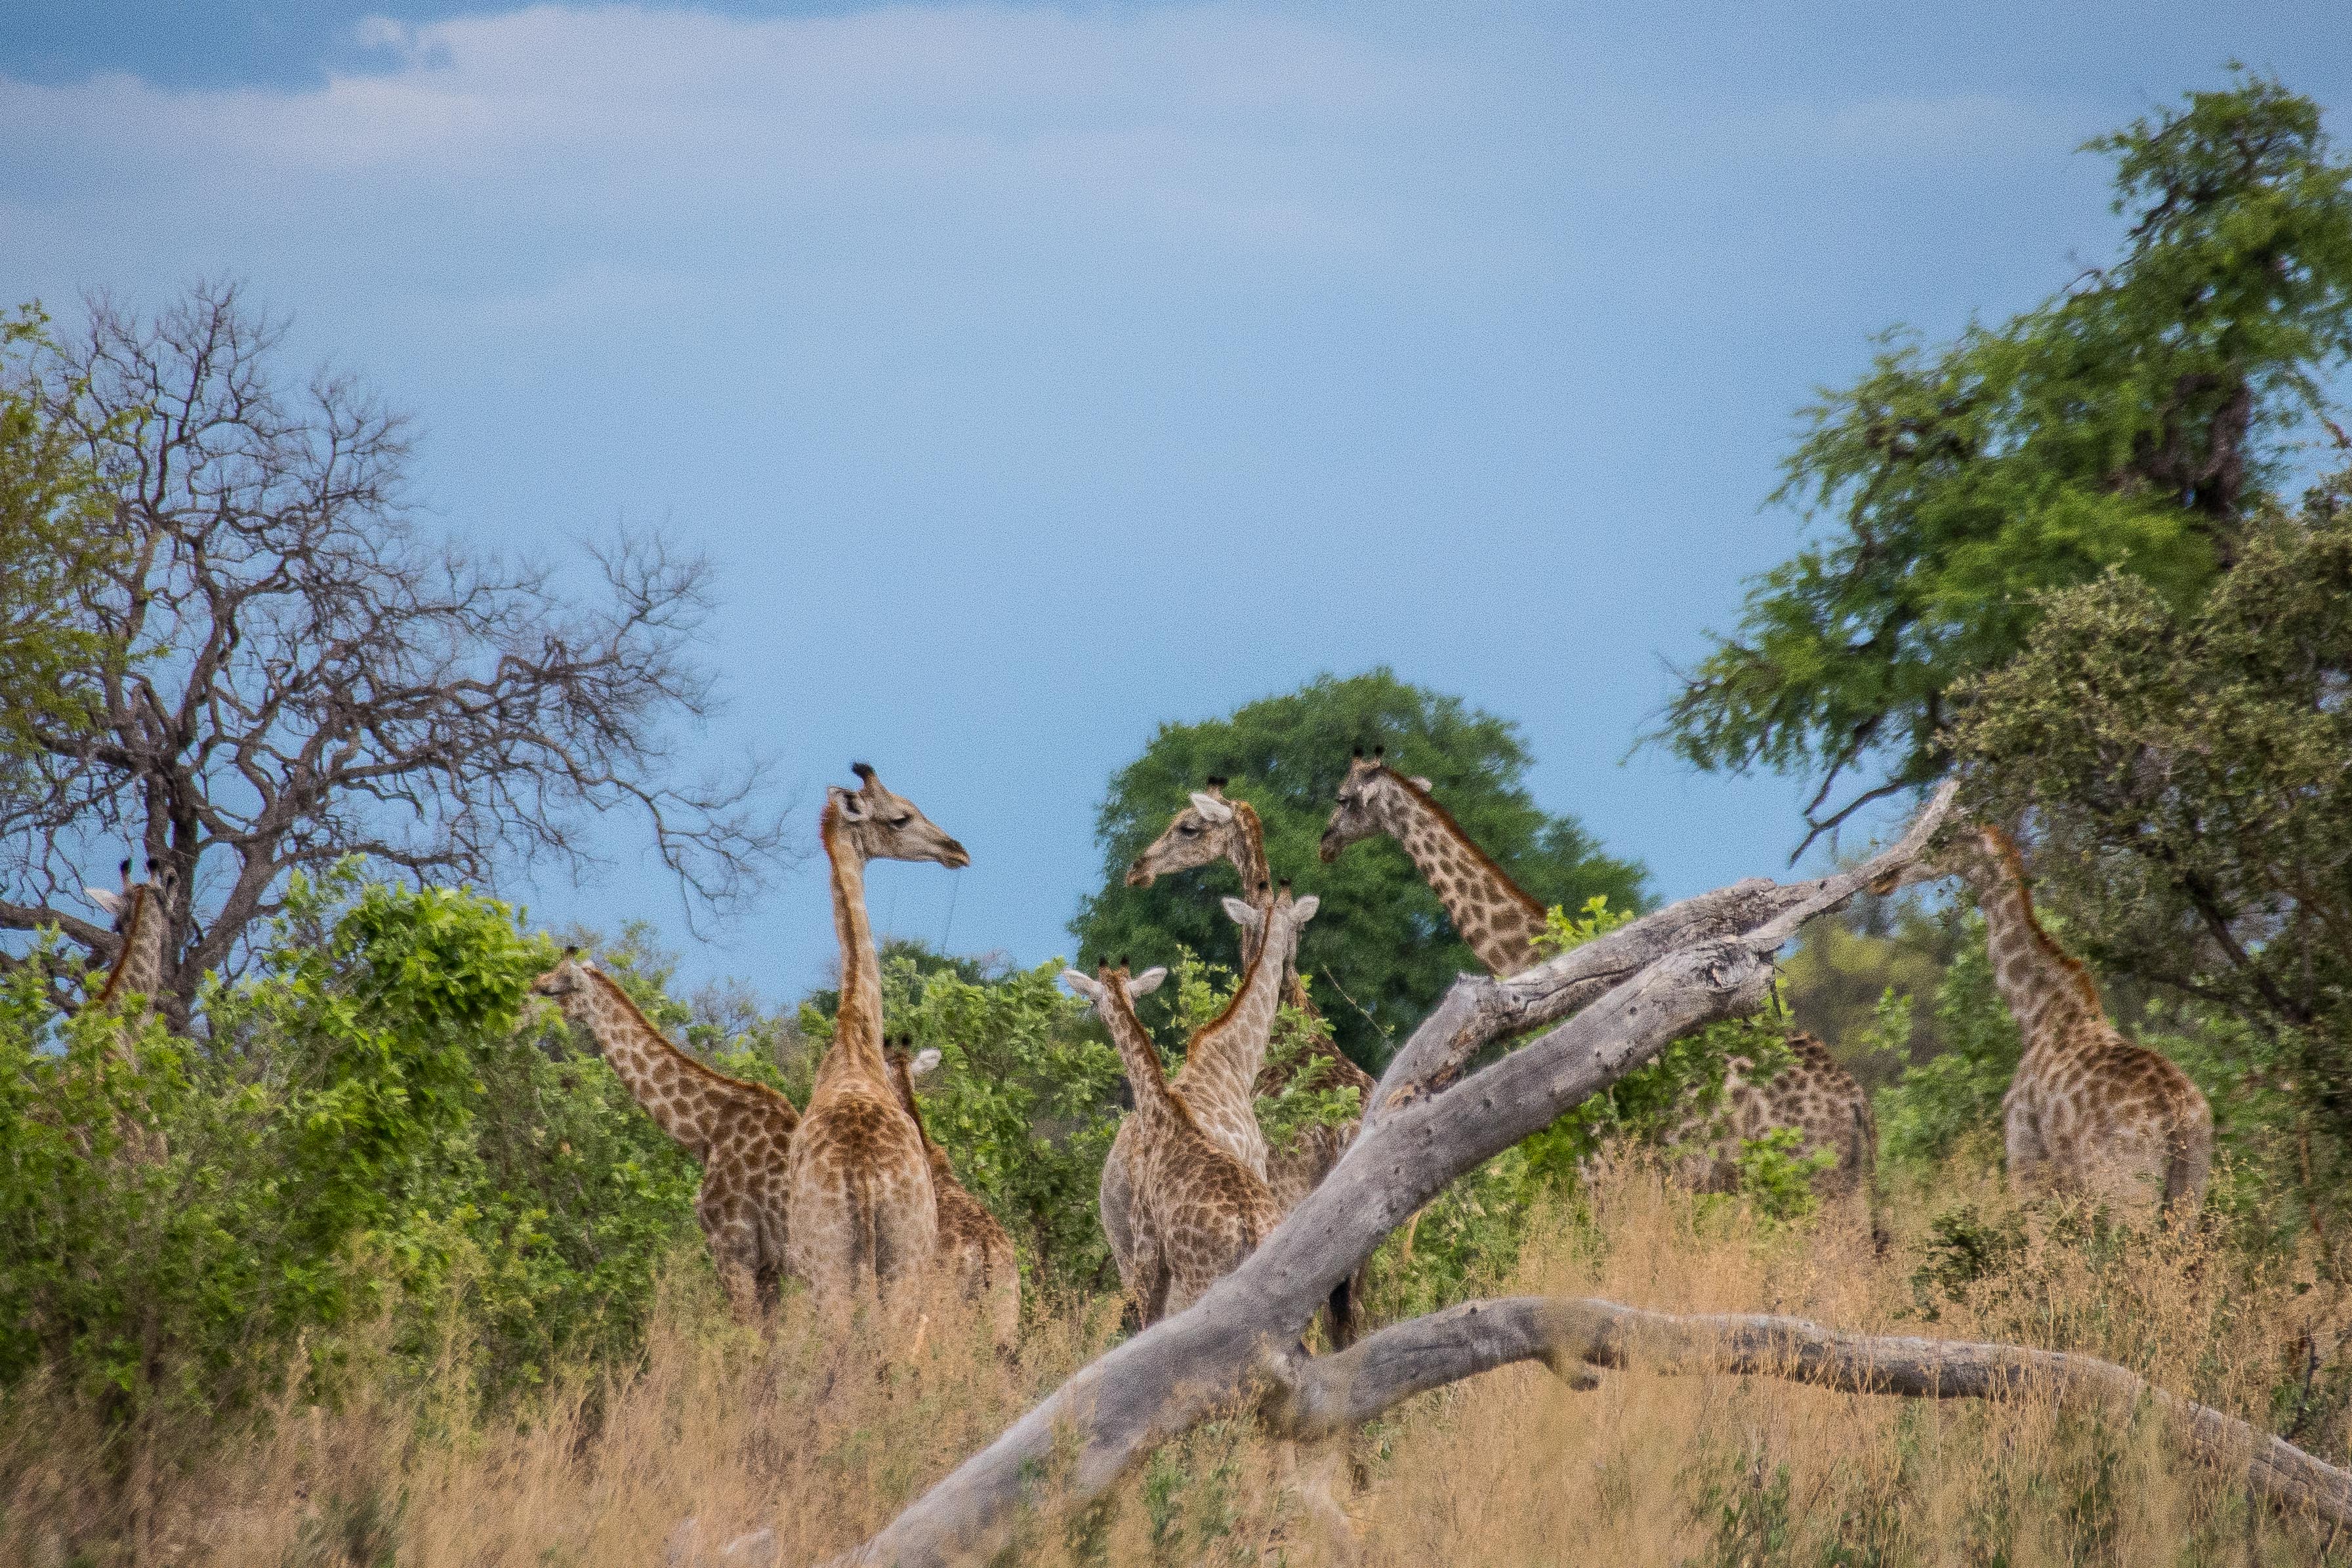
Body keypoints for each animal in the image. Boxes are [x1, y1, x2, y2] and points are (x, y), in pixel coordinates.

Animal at [790, 766, 974, 1316]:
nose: (956, 850)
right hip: (891, 1263)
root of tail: (866, 1181)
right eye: (901, 817)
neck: (855, 1037)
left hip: (849, 1271)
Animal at [1317, 752, 1882, 1203]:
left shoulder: (1601, 1154)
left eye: (1342, 798)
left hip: (1807, 1183)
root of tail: (1857, 1104)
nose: (1323, 844)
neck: (1540, 957)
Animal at [1910, 823, 2220, 1212]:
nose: (1887, 875)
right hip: (2191, 1182)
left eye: (1939, 839)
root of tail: (2176, 1113)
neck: (2040, 1015)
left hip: (2125, 1187)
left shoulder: (2027, 1155)